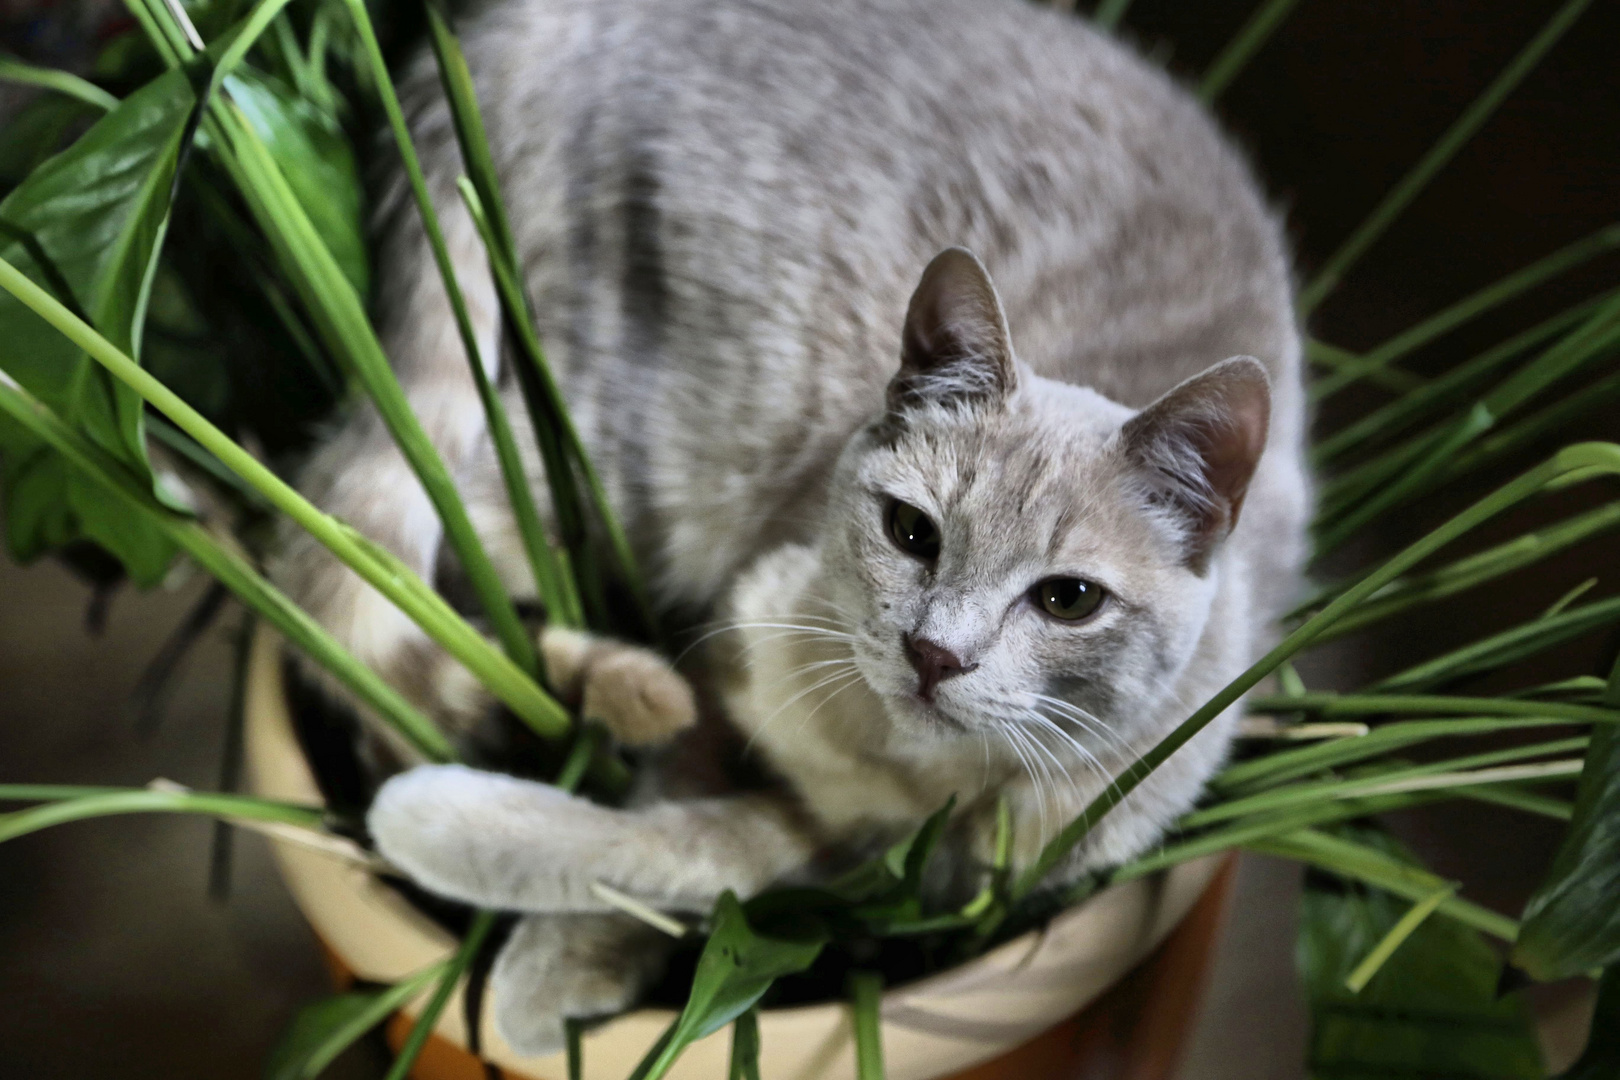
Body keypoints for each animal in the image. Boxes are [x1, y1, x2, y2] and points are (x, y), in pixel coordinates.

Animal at [272, 0, 1308, 1055]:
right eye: (911, 532)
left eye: (1069, 599)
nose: (936, 655)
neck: (905, 773)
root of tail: (564, 19)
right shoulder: (729, 650)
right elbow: (665, 810)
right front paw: (536, 919)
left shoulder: (874, 870)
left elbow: (699, 854)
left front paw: (524, 919)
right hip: (603, 463)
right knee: (352, 565)